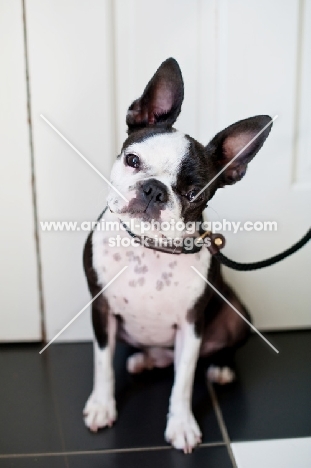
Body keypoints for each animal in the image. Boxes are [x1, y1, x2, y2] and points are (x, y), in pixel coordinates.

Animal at [83, 56, 272, 452]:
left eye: (194, 193)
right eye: (132, 160)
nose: (155, 190)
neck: (149, 247)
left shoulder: (191, 325)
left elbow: (183, 382)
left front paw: (181, 424)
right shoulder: (101, 309)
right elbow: (102, 364)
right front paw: (102, 406)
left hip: (236, 313)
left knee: (214, 352)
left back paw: (221, 368)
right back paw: (144, 360)